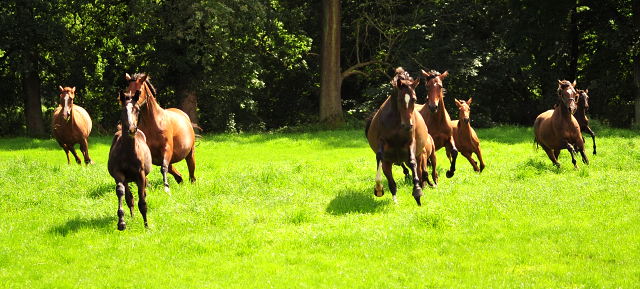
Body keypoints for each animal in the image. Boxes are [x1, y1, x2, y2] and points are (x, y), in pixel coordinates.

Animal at [109, 90, 152, 230]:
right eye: (123, 110)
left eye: (137, 109)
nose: (132, 129)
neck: (128, 152)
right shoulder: (119, 174)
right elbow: (121, 192)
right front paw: (121, 222)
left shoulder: (140, 175)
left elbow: (142, 200)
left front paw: (146, 226)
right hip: (127, 179)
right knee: (129, 198)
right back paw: (132, 217)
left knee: (142, 193)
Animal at [364, 67, 430, 205]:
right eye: (399, 100)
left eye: (414, 99)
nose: (407, 126)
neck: (396, 121)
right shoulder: (382, 142)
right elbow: (379, 157)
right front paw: (378, 188)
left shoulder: (410, 142)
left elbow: (412, 161)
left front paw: (417, 191)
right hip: (388, 163)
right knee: (391, 181)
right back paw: (395, 200)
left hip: (419, 155)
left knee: (419, 169)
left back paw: (422, 185)